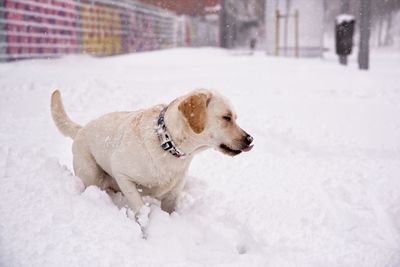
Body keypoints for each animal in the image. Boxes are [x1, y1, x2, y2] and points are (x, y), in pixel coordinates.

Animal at [50, 89, 253, 222]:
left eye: (235, 117)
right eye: (226, 117)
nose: (250, 139)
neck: (167, 142)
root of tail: (81, 128)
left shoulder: (173, 195)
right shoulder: (122, 174)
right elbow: (140, 208)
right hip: (90, 174)